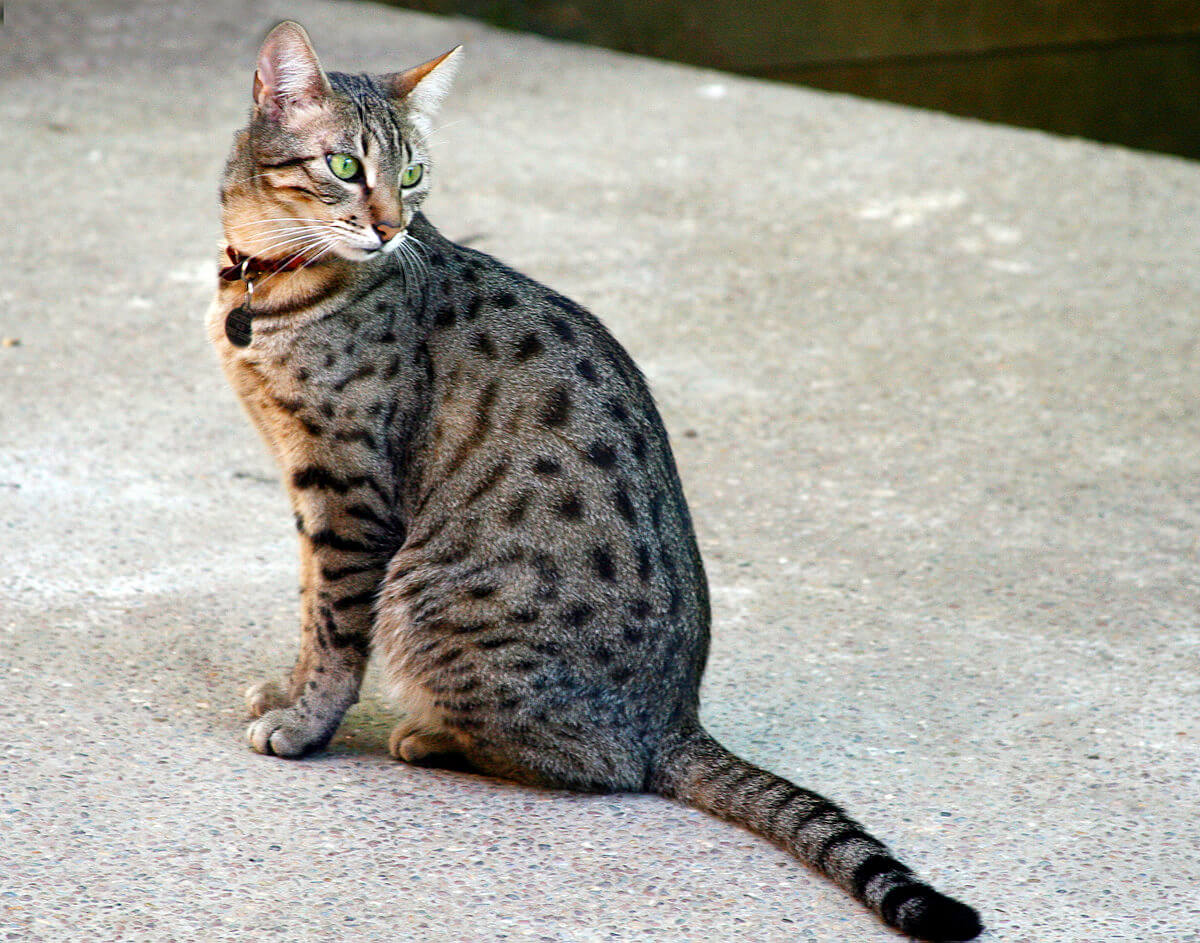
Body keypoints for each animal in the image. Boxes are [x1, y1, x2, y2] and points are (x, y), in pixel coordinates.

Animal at [206, 23, 984, 940]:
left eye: (412, 174)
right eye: (344, 165)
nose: (392, 227)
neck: (267, 278)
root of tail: (676, 720)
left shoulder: (349, 490)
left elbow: (334, 625)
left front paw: (305, 722)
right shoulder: (308, 486)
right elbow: (307, 607)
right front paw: (286, 688)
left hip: (428, 598)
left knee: (601, 765)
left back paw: (434, 737)